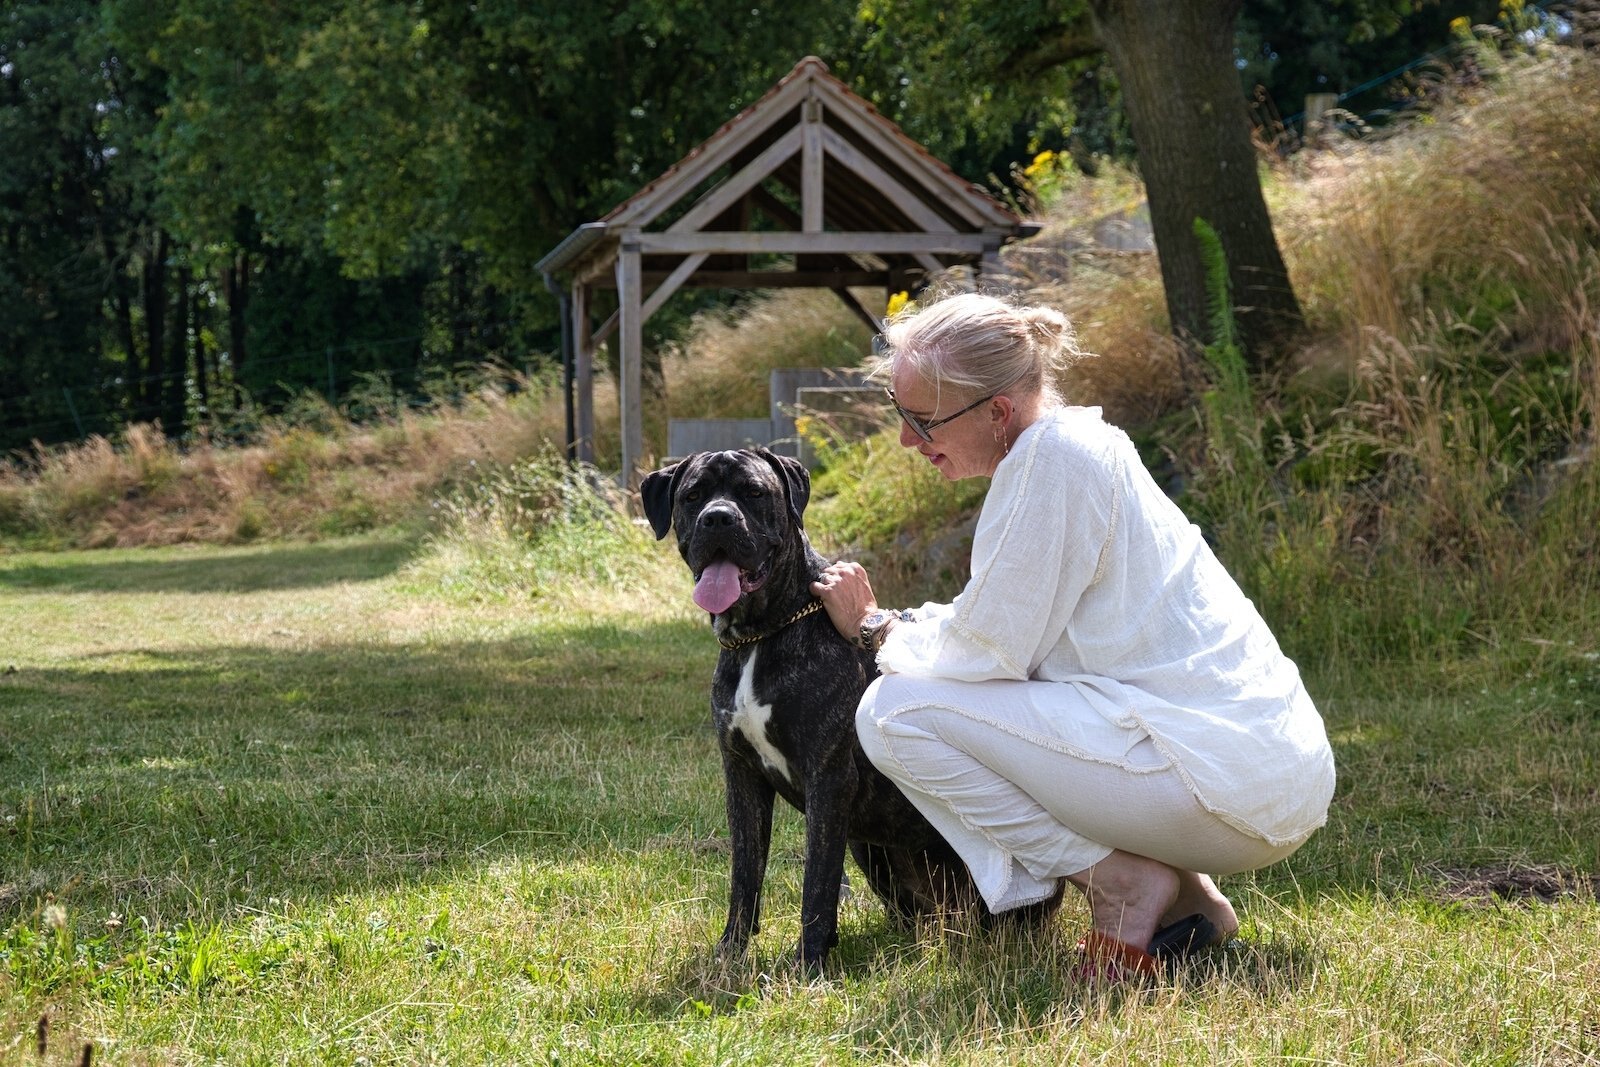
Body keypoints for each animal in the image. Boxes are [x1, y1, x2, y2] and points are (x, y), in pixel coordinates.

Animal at [636, 444, 1062, 966]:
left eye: (753, 492)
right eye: (693, 496)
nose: (718, 518)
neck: (760, 632)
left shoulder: (828, 778)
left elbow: (816, 882)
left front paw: (808, 965)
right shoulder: (741, 775)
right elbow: (745, 875)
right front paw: (730, 956)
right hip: (869, 850)